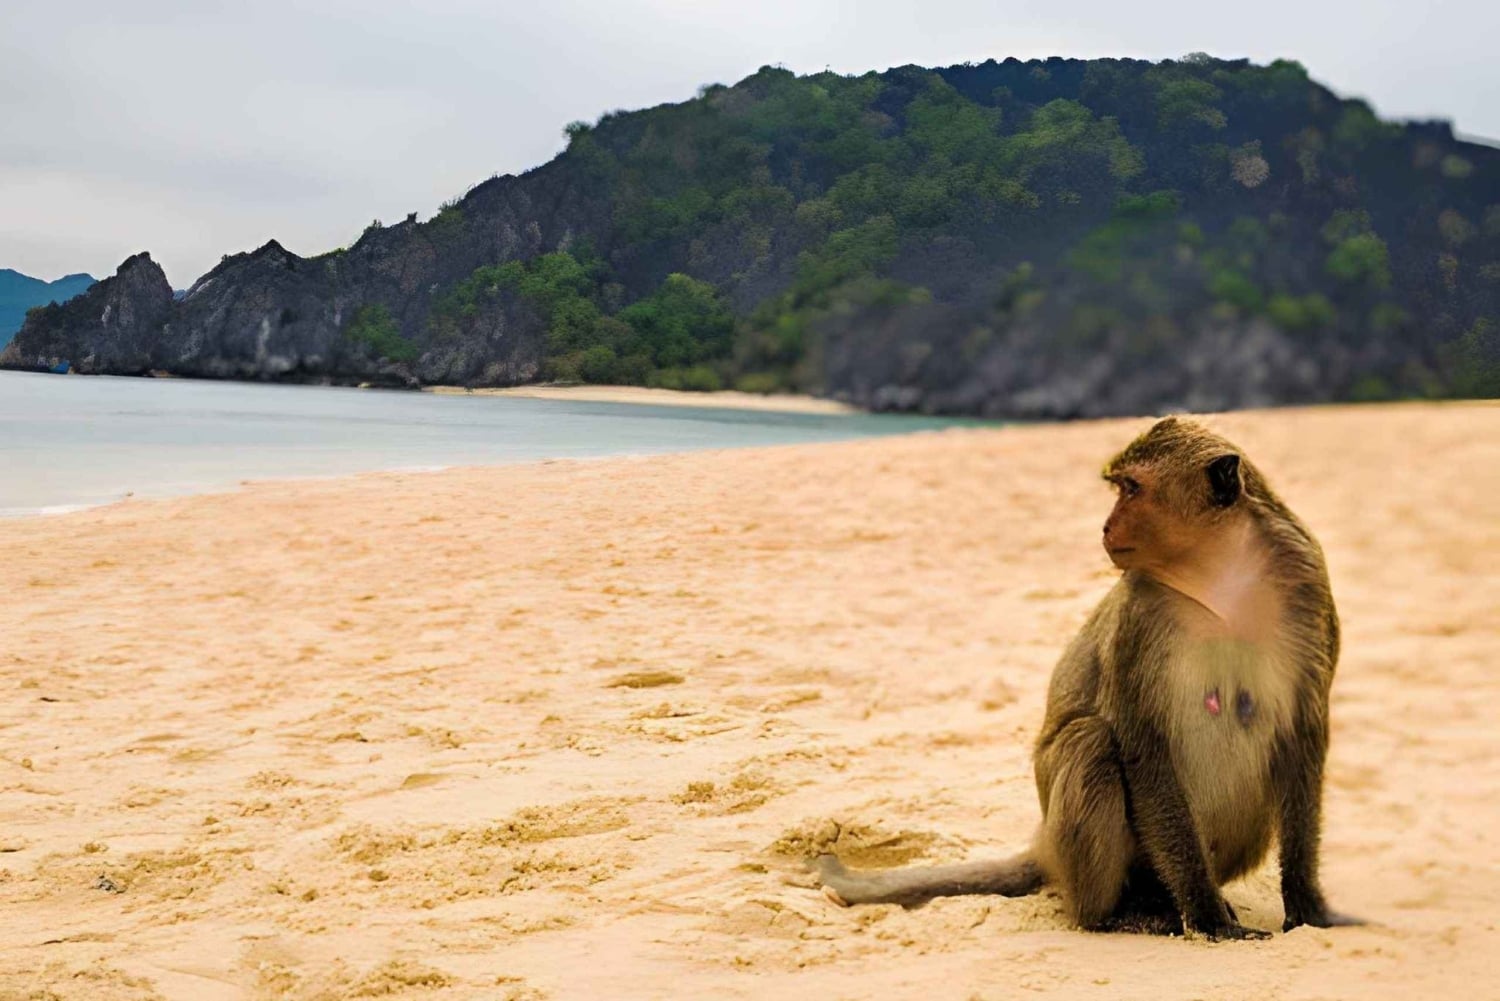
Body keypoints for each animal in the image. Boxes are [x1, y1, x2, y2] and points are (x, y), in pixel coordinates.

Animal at [814, 417, 1360, 940]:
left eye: (1132, 489)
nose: (1105, 526)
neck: (1222, 574)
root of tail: (1044, 843)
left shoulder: (1307, 584)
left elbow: (1301, 737)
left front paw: (1307, 907)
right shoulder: (1140, 614)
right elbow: (1144, 747)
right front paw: (1207, 919)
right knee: (1090, 741)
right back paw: (1116, 915)